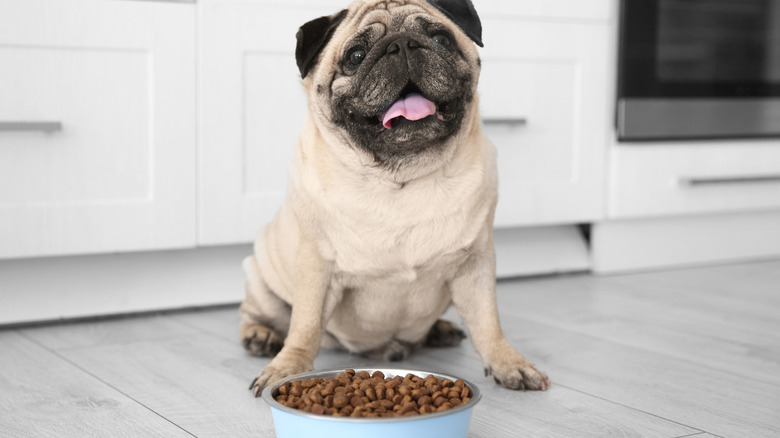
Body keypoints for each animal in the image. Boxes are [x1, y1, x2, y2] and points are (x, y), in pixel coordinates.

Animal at [241, 0, 552, 396]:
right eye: (357, 55)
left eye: (441, 39)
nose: (402, 45)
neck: (401, 177)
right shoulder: (317, 267)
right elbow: (305, 325)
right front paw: (288, 368)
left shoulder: (475, 264)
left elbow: (488, 321)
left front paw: (508, 363)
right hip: (260, 273)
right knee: (259, 313)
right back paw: (259, 335)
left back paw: (439, 330)